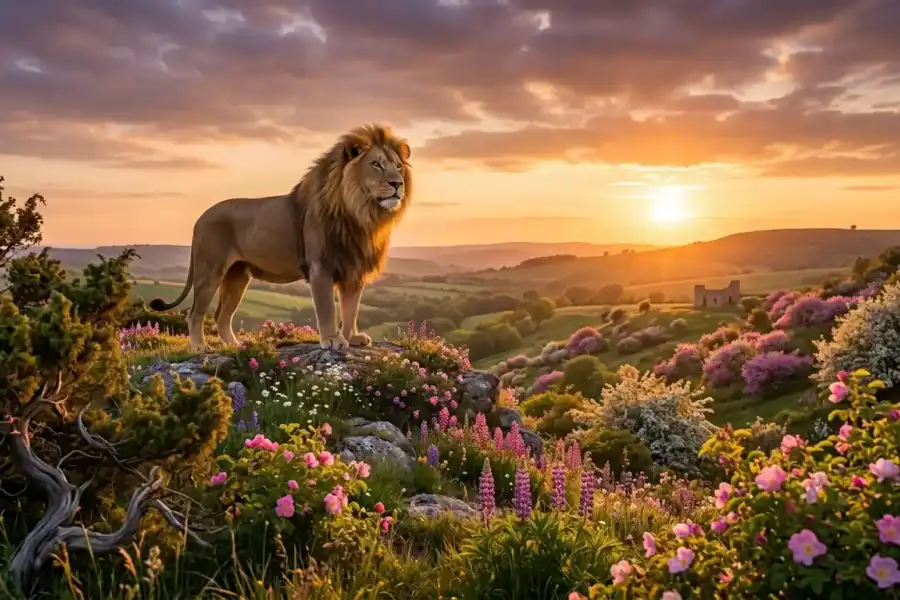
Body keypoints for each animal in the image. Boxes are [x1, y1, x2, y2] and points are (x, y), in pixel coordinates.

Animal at [148, 124, 412, 351]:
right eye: (376, 164)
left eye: (398, 166)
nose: (398, 184)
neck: (361, 214)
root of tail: (200, 217)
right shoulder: (321, 267)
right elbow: (327, 308)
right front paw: (332, 339)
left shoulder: (353, 269)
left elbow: (351, 308)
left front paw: (352, 337)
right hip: (210, 270)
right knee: (196, 313)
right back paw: (199, 346)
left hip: (237, 276)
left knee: (222, 315)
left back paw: (236, 346)